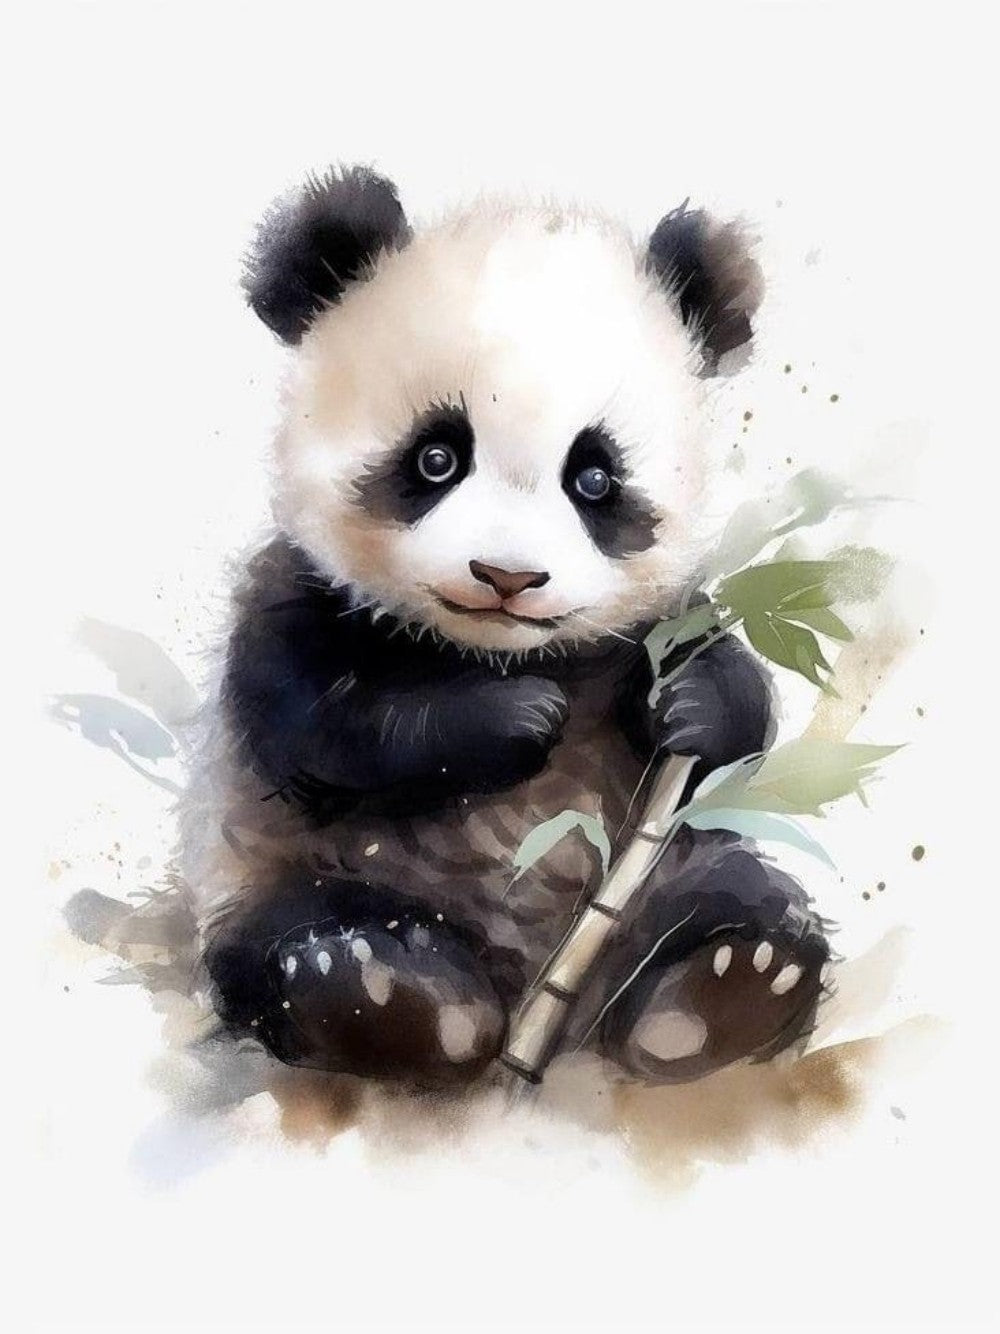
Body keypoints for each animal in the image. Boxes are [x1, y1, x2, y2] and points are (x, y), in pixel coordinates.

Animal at [184, 164, 830, 1092]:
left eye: (594, 477)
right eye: (436, 457)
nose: (508, 577)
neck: (497, 651)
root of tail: (544, 1009)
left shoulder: (654, 627)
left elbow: (730, 727)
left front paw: (695, 705)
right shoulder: (295, 600)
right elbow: (322, 726)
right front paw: (519, 719)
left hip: (668, 868)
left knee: (732, 888)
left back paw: (723, 988)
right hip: (274, 867)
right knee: (286, 934)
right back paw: (389, 994)